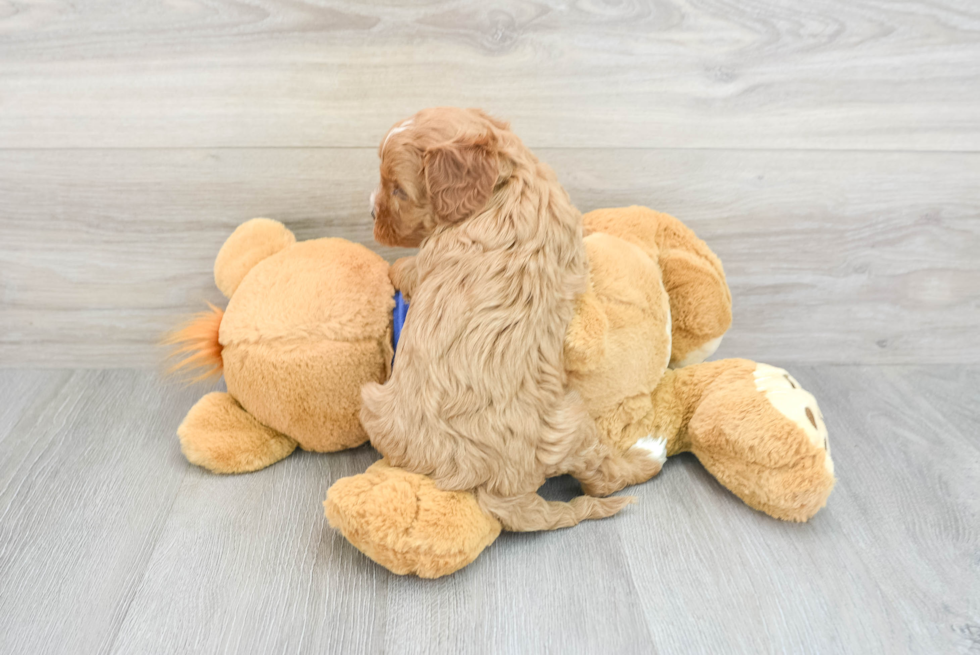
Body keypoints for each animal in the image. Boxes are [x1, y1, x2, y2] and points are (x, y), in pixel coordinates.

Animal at [360, 106, 668, 528]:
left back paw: (649, 453)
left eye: (398, 190)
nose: (369, 211)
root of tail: (495, 486)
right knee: (602, 478)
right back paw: (648, 454)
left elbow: (405, 269)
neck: (508, 183)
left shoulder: (427, 261)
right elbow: (406, 270)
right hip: (570, 423)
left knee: (603, 478)